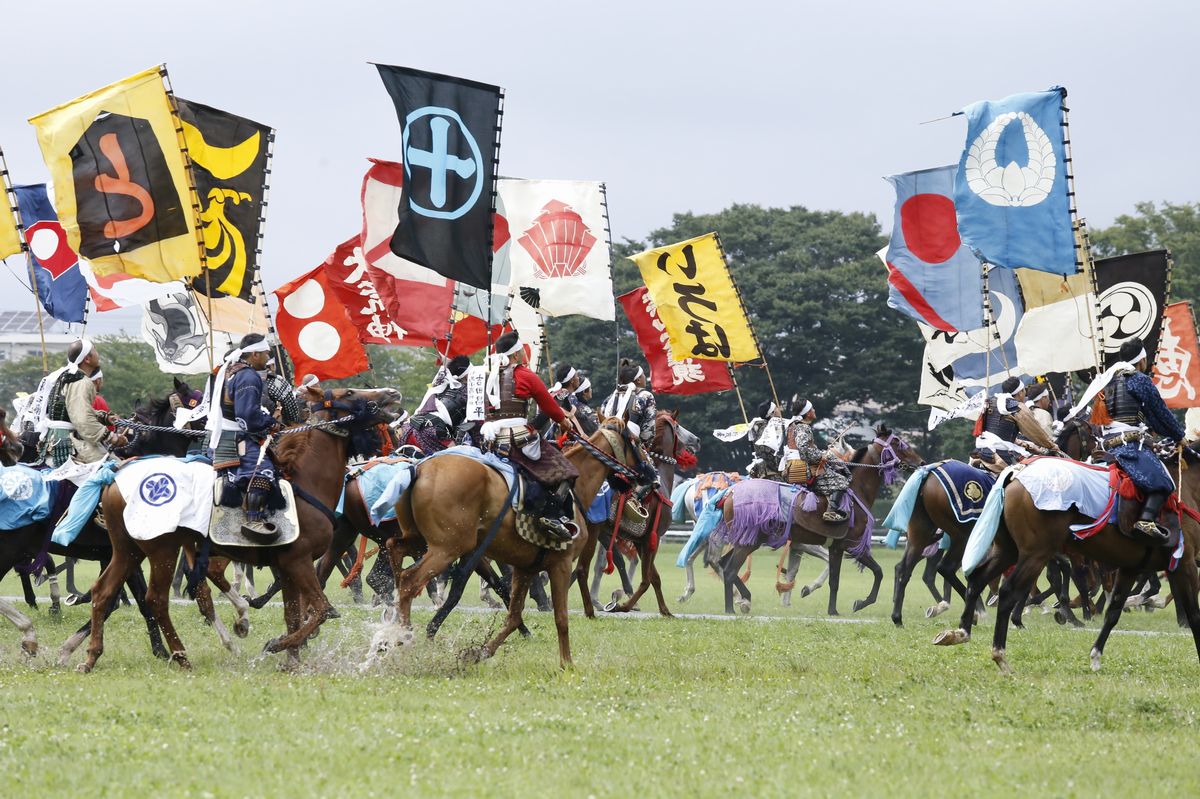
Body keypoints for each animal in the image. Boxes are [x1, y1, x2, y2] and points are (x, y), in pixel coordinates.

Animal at [75, 383, 403, 667]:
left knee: (102, 593)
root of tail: (115, 478)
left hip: (127, 550)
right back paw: (181, 655)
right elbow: (321, 611)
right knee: (155, 600)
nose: (392, 393)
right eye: (349, 393)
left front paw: (291, 661)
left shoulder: (287, 565)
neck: (306, 481)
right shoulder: (298, 561)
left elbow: (294, 615)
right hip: (161, 550)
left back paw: (89, 656)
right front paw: (276, 645)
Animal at [379, 417, 652, 667]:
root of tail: (419, 469)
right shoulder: (560, 565)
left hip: (421, 541)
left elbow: (512, 615)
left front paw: (479, 652)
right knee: (409, 581)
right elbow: (561, 618)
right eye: (637, 442)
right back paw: (404, 638)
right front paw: (567, 664)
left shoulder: (525, 568)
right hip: (447, 549)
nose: (652, 476)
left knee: (395, 550)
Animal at [573, 410, 700, 614]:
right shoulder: (650, 541)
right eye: (678, 426)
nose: (696, 440)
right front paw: (624, 605)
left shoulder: (641, 542)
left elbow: (654, 577)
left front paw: (665, 610)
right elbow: (646, 580)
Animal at [715, 427, 921, 611]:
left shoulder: (835, 546)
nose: (920, 461)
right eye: (897, 443)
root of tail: (730, 493)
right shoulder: (848, 544)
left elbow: (842, 578)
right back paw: (732, 607)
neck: (857, 490)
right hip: (748, 542)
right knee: (729, 570)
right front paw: (849, 605)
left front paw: (839, 608)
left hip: (745, 540)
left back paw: (743, 599)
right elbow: (869, 573)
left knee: (724, 565)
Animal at [936, 443, 1200, 667]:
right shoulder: (1184, 564)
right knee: (1008, 591)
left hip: (1009, 550)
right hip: (1035, 554)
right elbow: (1193, 612)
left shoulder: (1131, 567)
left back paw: (962, 631)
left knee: (977, 580)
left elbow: (1113, 611)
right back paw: (1000, 653)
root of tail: (1016, 474)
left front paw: (1096, 655)